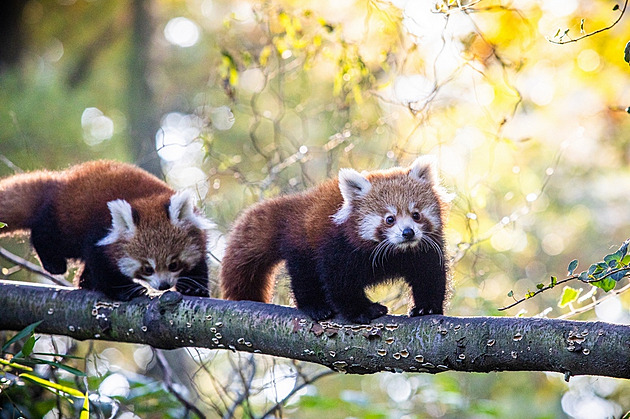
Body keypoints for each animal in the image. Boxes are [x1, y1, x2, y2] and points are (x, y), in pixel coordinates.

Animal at [0, 159, 212, 300]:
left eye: (173, 264)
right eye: (147, 268)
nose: (164, 285)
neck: (147, 200)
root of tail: (61, 181)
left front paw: (195, 287)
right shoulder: (98, 234)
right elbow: (103, 268)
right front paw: (124, 290)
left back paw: (84, 281)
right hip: (66, 222)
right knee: (46, 234)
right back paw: (54, 263)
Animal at [222, 158, 454, 324]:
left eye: (416, 215)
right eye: (390, 219)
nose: (408, 233)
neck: (394, 252)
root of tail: (298, 204)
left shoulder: (422, 250)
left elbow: (429, 274)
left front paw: (426, 307)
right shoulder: (338, 245)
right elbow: (340, 282)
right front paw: (363, 310)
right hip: (302, 242)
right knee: (305, 276)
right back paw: (316, 307)